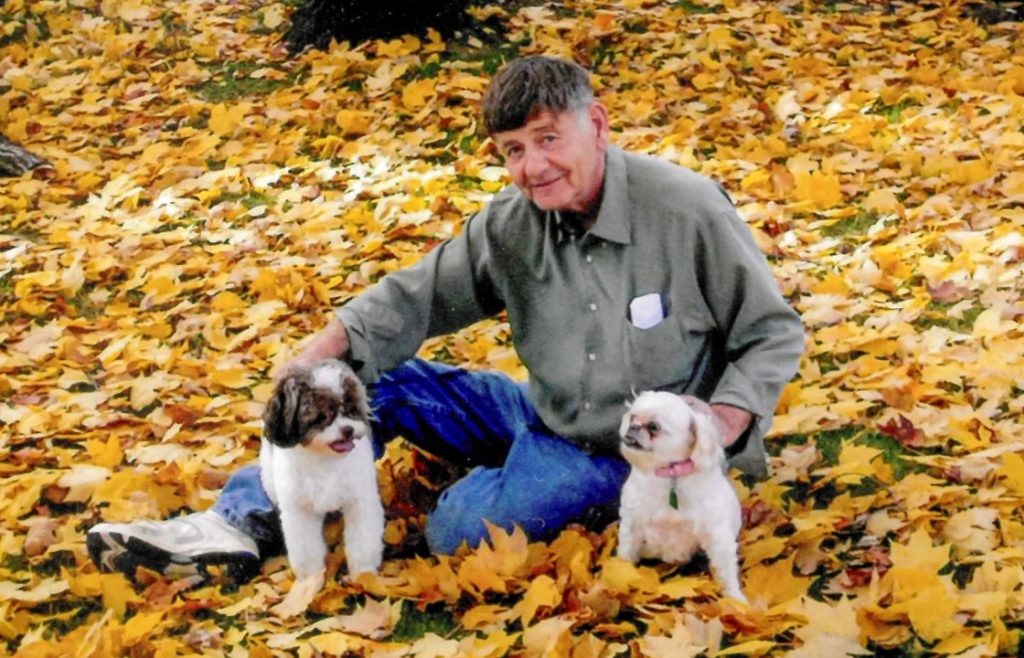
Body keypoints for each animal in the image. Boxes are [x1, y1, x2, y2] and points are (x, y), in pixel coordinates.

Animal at [260, 360, 385, 618]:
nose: (347, 430)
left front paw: (364, 576)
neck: (324, 460)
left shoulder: (360, 501)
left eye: (350, 408)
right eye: (321, 416)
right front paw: (309, 584)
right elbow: (306, 548)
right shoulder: (299, 510)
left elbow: (363, 540)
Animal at [610, 390, 749, 601]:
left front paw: (735, 600)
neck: (669, 478)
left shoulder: (718, 535)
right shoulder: (633, 524)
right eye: (632, 417)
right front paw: (620, 574)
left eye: (654, 427)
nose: (633, 426)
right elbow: (626, 553)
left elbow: (726, 572)